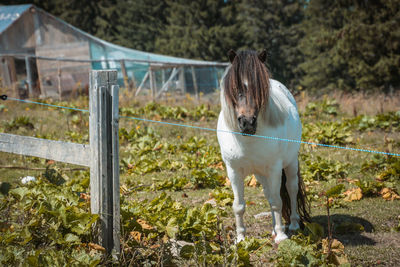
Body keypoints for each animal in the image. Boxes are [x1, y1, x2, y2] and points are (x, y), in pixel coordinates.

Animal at [219, 49, 310, 244]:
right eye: (236, 88)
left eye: (259, 89)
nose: (247, 123)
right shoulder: (234, 171)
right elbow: (239, 206)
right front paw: (240, 238)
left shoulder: (275, 169)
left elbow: (277, 201)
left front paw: (282, 236)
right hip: (260, 174)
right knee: (269, 194)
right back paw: (274, 229)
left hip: (290, 163)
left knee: (291, 189)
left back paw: (292, 225)